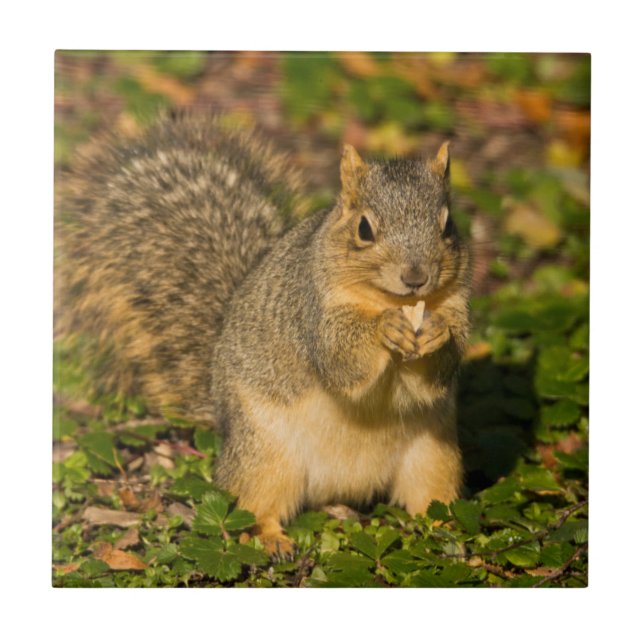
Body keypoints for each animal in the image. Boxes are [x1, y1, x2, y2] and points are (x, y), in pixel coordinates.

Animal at [57, 113, 472, 557]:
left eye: (447, 225)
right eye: (364, 229)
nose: (416, 277)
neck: (389, 300)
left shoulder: (457, 305)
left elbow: (437, 372)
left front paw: (437, 334)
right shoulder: (311, 311)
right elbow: (341, 359)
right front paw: (385, 329)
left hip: (434, 455)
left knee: (430, 498)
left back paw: (448, 528)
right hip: (265, 454)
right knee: (254, 504)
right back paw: (271, 538)